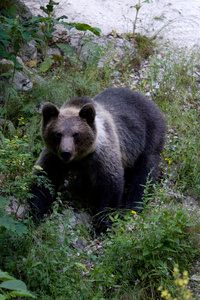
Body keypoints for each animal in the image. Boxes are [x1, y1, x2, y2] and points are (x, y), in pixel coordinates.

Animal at [28, 88, 166, 229]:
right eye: (58, 134)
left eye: (76, 134)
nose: (66, 152)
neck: (80, 158)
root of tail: (149, 102)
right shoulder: (55, 157)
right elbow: (44, 180)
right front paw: (35, 214)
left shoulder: (101, 155)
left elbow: (110, 186)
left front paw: (102, 226)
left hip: (147, 139)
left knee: (143, 176)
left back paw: (131, 208)